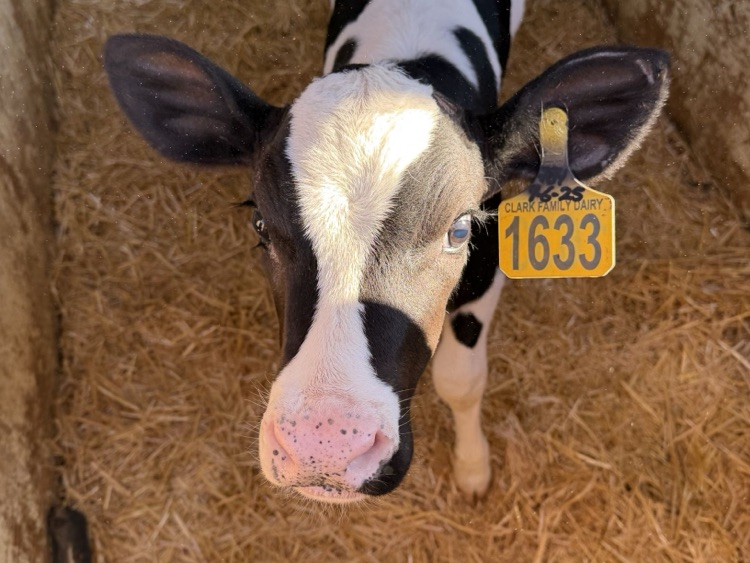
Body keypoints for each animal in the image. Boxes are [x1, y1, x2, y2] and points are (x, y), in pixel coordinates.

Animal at [103, 0, 669, 503]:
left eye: (458, 229)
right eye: (260, 223)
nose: (324, 447)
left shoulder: (487, 268)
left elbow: (461, 380)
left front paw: (473, 469)